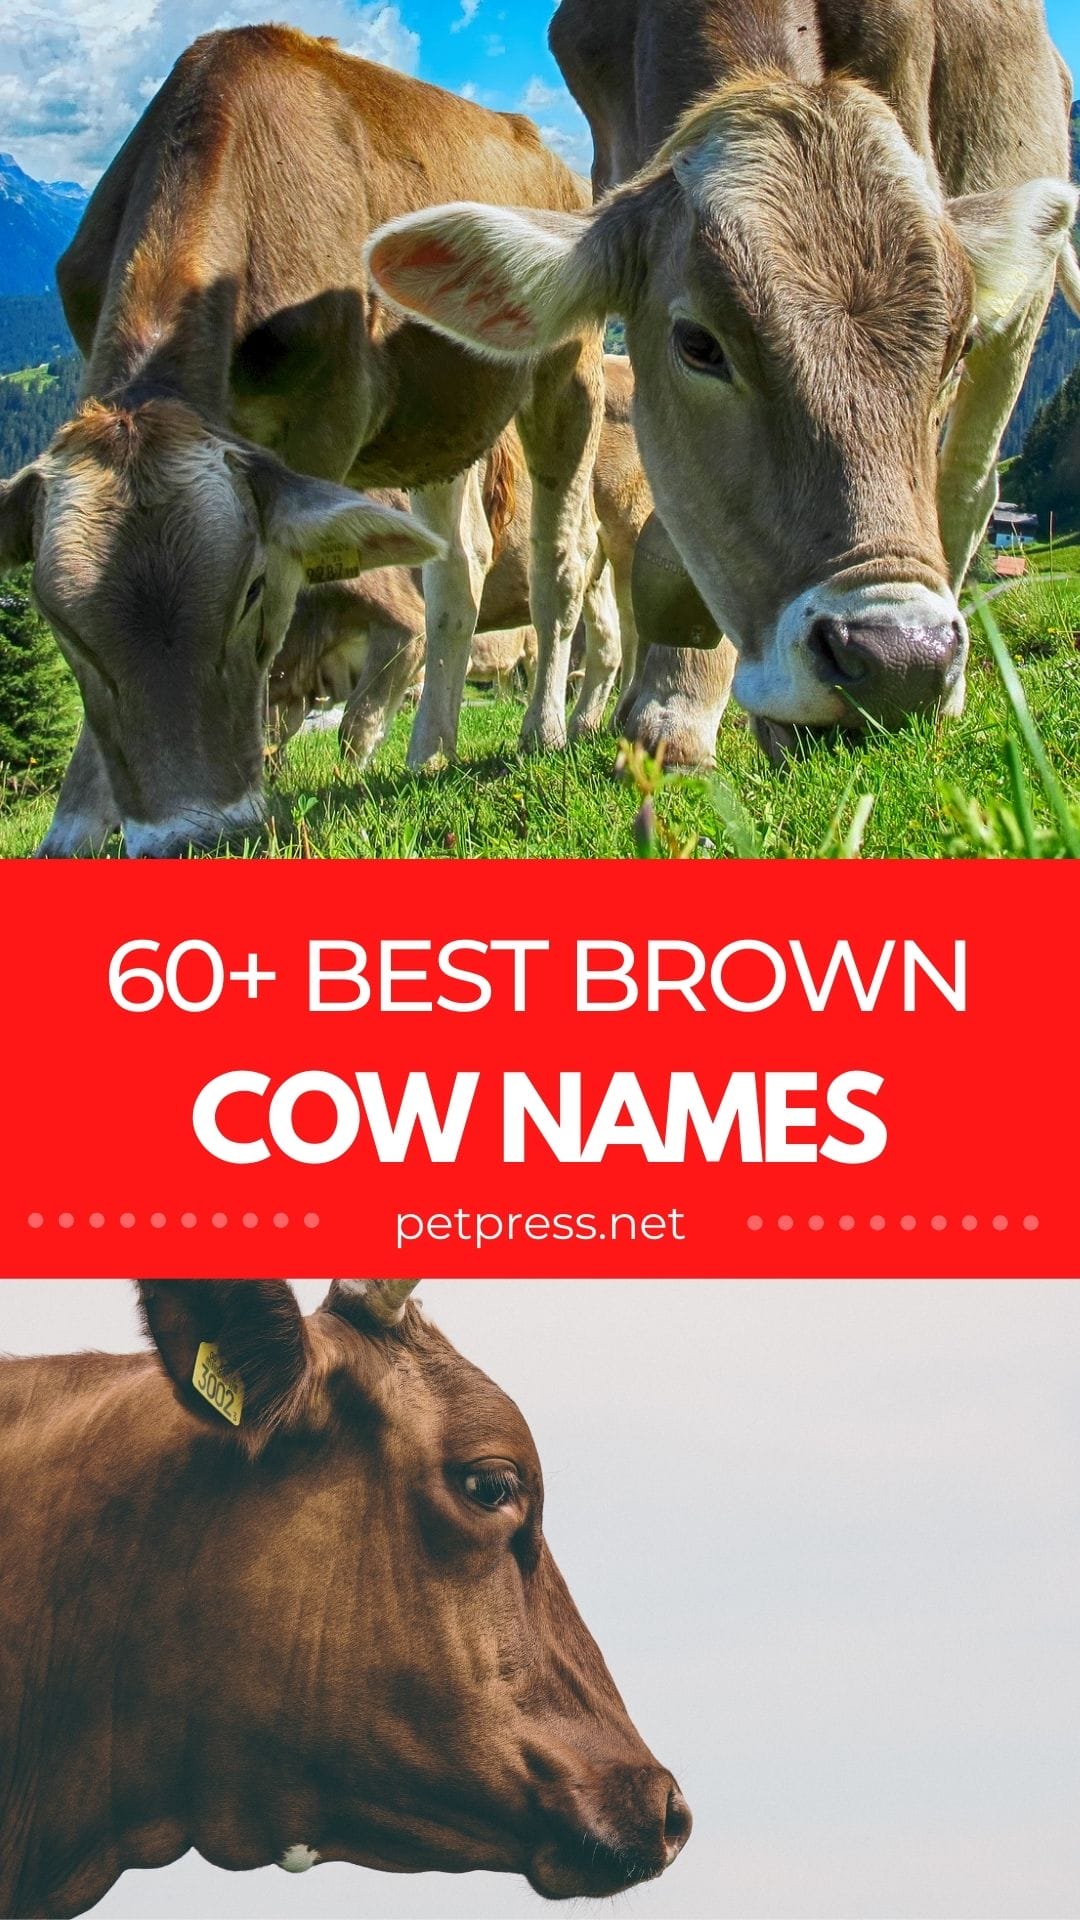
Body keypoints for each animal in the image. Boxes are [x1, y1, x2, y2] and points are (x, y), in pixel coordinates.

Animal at [0, 26, 604, 856]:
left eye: (250, 591)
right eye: (59, 624)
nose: (195, 835)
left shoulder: (322, 425)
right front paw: (77, 824)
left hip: (567, 372)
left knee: (561, 561)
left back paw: (542, 732)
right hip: (439, 419)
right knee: (460, 568)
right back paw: (430, 750)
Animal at [269, 357, 667, 760]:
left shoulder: (403, 623)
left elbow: (357, 724)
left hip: (629, 532)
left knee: (636, 627)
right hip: (596, 564)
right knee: (607, 638)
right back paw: (583, 725)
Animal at [364, 0, 1080, 765]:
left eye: (954, 347)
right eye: (698, 345)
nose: (901, 662)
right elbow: (672, 530)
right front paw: (669, 705)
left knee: (970, 484)